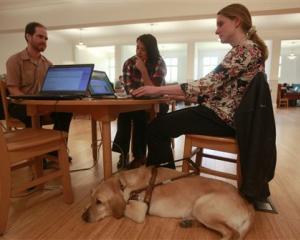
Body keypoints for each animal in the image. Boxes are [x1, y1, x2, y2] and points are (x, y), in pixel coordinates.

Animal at [81, 166, 253, 239]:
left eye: (99, 202)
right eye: (90, 197)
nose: (83, 217)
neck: (123, 183)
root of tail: (248, 206)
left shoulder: (139, 212)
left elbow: (123, 209)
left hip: (202, 205)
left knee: (232, 233)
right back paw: (188, 222)